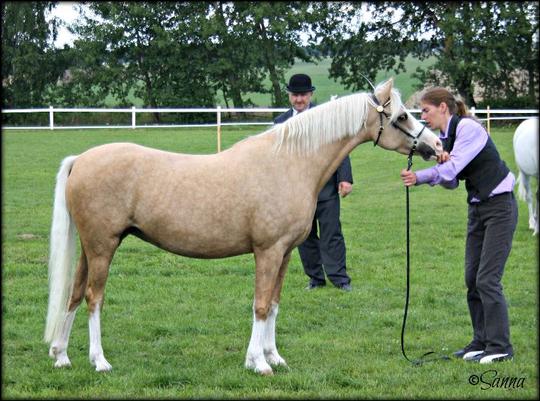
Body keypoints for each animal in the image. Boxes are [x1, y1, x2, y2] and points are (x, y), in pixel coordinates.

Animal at [45, 79, 442, 376]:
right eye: (402, 115)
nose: (436, 144)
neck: (290, 162)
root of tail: (81, 160)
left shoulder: (285, 254)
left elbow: (275, 304)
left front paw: (273, 356)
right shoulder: (268, 251)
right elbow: (261, 305)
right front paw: (257, 363)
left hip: (91, 248)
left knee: (75, 294)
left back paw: (62, 355)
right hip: (103, 246)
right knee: (94, 297)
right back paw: (99, 361)